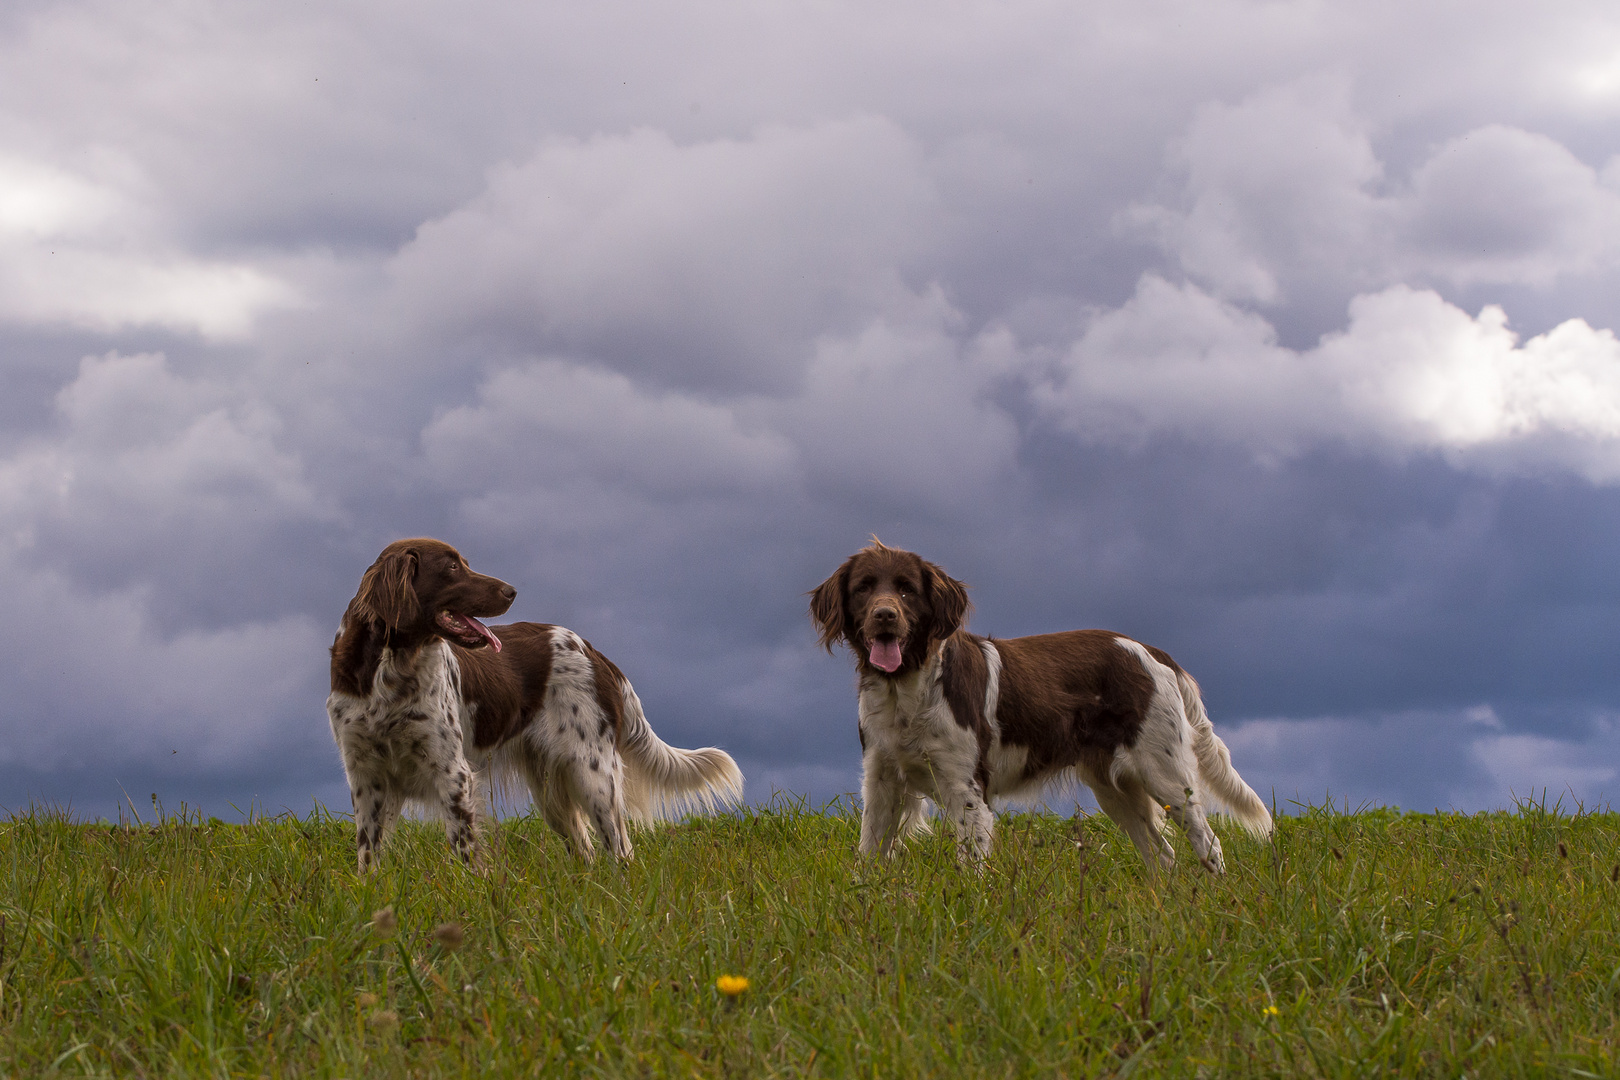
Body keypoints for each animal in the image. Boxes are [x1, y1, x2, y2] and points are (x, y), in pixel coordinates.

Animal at [328, 540, 745, 867]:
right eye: (452, 566)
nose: (511, 590)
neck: (392, 669)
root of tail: (594, 651)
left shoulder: (452, 772)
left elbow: (466, 853)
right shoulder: (366, 776)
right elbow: (367, 855)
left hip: (593, 775)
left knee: (620, 851)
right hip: (552, 790)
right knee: (586, 852)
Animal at [806, 537, 1263, 874]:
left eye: (906, 589)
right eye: (864, 588)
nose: (885, 615)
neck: (906, 688)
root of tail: (1150, 651)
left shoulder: (967, 790)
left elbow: (971, 867)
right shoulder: (881, 780)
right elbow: (868, 856)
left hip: (1164, 774)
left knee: (1209, 844)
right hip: (1114, 789)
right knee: (1162, 856)